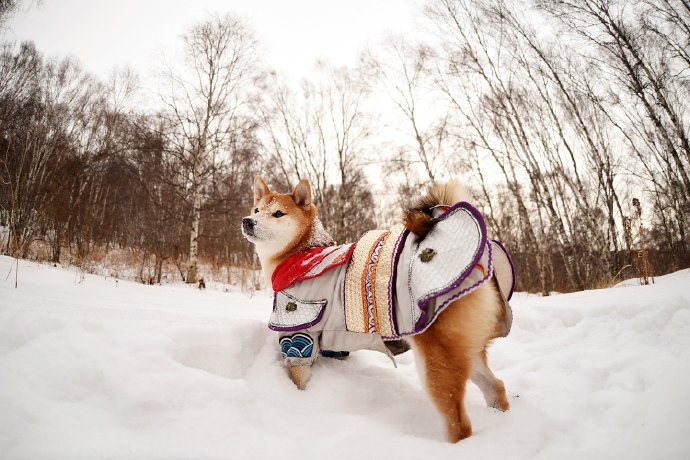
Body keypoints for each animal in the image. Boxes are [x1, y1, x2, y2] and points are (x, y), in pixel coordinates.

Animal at [242, 175, 510, 442]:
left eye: (278, 213)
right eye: (256, 210)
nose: (248, 221)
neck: (302, 256)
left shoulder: (299, 332)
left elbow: (299, 376)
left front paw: (299, 403)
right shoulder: (331, 342)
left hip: (437, 359)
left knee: (459, 422)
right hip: (466, 349)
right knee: (495, 386)